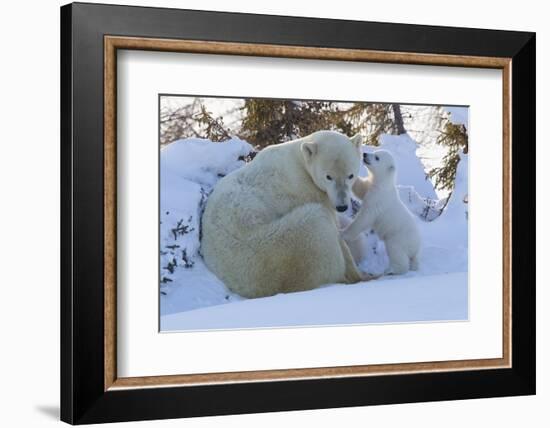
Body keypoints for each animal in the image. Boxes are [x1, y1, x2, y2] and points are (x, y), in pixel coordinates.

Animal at [201, 130, 368, 298]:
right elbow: (335, 229)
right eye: (328, 176)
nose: (342, 206)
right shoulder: (305, 190)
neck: (299, 160)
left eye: (350, 175)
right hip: (282, 243)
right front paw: (358, 273)